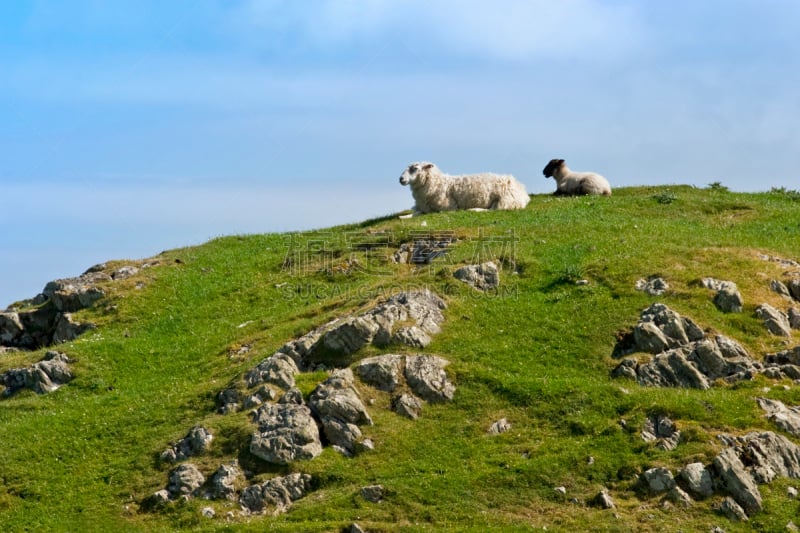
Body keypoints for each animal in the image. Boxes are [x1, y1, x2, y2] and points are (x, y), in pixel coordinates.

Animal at [396, 162, 528, 214]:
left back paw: (473, 209)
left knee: (493, 210)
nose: (401, 179)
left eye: (415, 168)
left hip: (505, 200)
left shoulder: (448, 207)